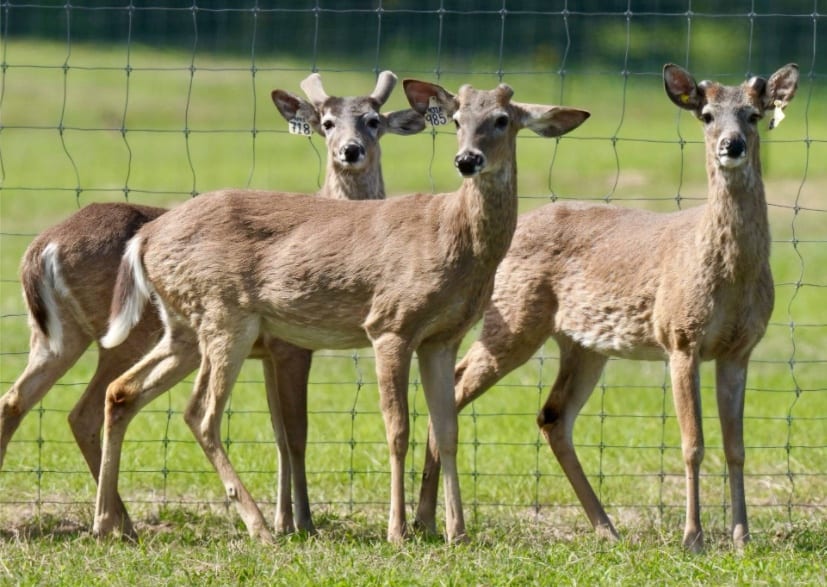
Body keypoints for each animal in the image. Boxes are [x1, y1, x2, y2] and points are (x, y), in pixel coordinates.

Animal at [0, 71, 426, 539]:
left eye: (373, 120)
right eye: (326, 123)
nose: (351, 150)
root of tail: (40, 249)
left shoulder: (269, 352)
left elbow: (279, 432)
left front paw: (285, 521)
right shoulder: (290, 347)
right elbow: (295, 432)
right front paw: (301, 523)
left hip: (56, 336)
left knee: (20, 400)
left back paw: (115, 522)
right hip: (126, 337)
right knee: (86, 410)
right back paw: (123, 522)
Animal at [92, 80, 590, 544]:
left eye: (503, 119)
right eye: (455, 120)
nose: (467, 160)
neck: (453, 238)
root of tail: (145, 237)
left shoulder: (441, 338)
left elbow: (446, 431)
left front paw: (457, 532)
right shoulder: (390, 324)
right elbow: (397, 429)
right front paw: (397, 531)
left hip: (183, 326)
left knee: (121, 391)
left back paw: (106, 524)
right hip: (225, 314)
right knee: (200, 413)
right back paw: (259, 527)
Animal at [413, 63, 799, 552]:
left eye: (753, 114)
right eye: (707, 115)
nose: (732, 145)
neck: (728, 274)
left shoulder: (739, 349)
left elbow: (737, 446)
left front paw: (742, 538)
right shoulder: (680, 336)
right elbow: (692, 443)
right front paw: (692, 538)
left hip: (584, 344)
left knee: (552, 416)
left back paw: (606, 527)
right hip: (515, 320)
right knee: (457, 386)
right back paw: (429, 523)